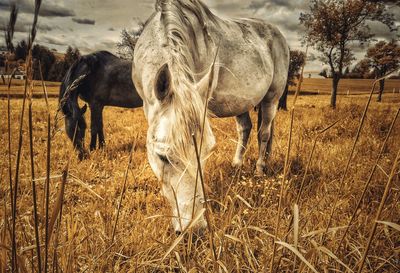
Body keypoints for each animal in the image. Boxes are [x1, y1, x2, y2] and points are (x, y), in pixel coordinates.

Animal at [133, 0, 290, 231]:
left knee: (264, 133)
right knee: (245, 128)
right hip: (241, 103)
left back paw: (260, 169)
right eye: (162, 157)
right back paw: (237, 165)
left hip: (272, 98)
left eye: (207, 151)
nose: (195, 229)